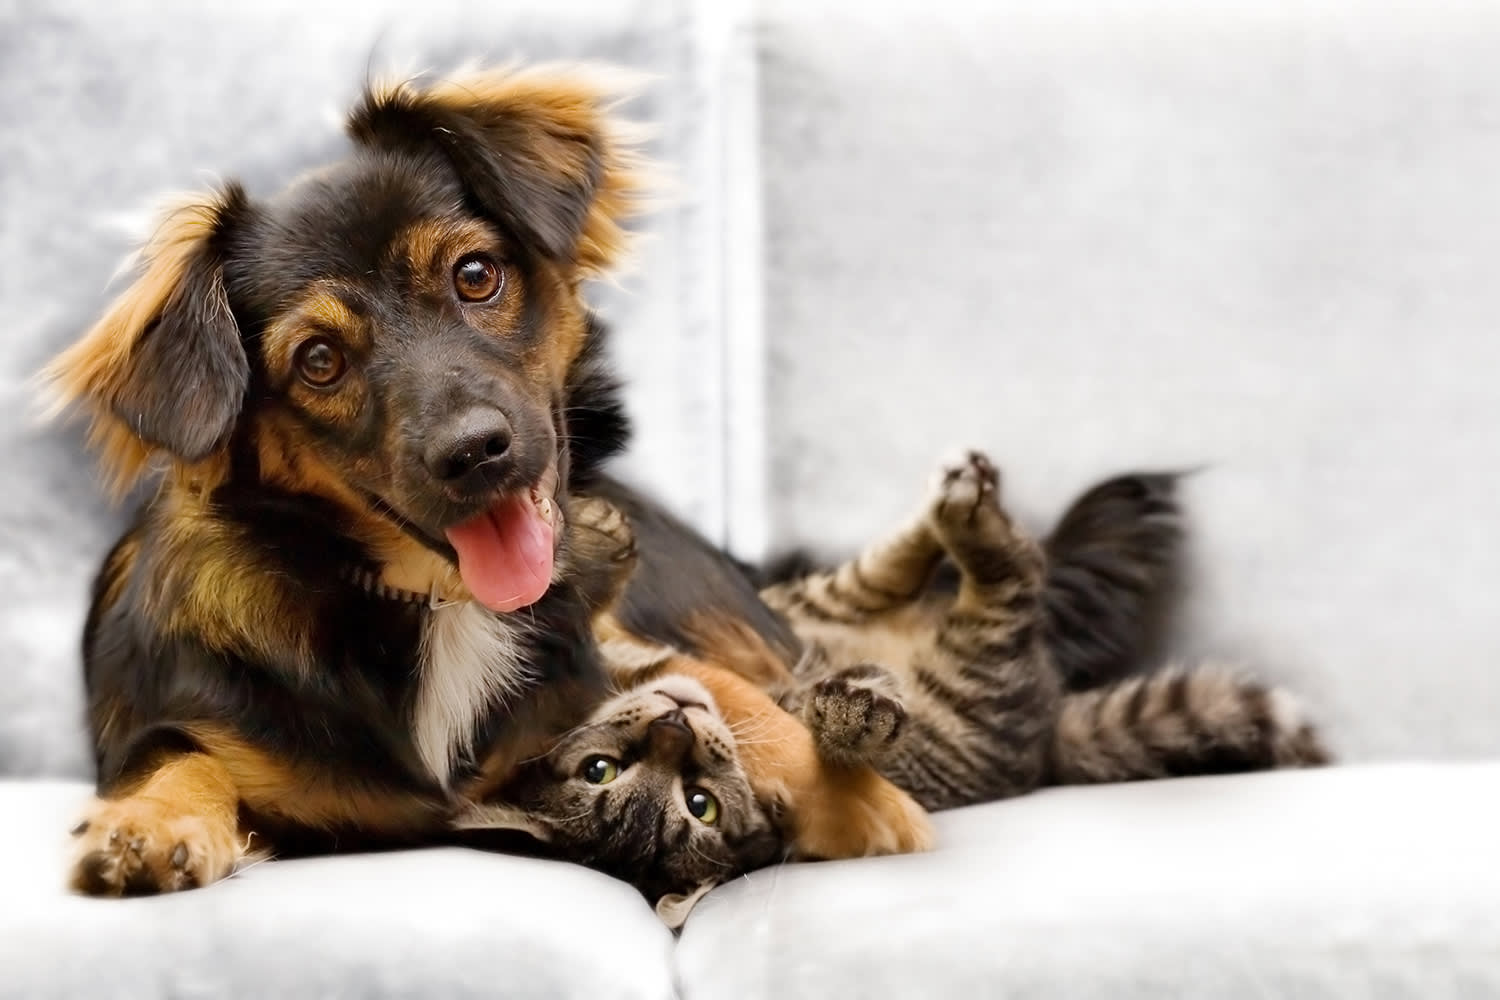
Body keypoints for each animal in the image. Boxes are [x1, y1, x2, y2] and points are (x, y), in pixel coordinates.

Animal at [43, 64, 786, 893]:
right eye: (319, 360)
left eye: (476, 275)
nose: (475, 451)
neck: (442, 601)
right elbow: (176, 756)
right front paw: (150, 824)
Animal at [456, 449, 1326, 929]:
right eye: (694, 804)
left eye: (600, 768)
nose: (672, 726)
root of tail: (1047, 733)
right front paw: (856, 712)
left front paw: (590, 554)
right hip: (977, 676)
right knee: (1010, 579)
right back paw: (969, 519)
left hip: (815, 605)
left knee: (878, 574)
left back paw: (949, 503)